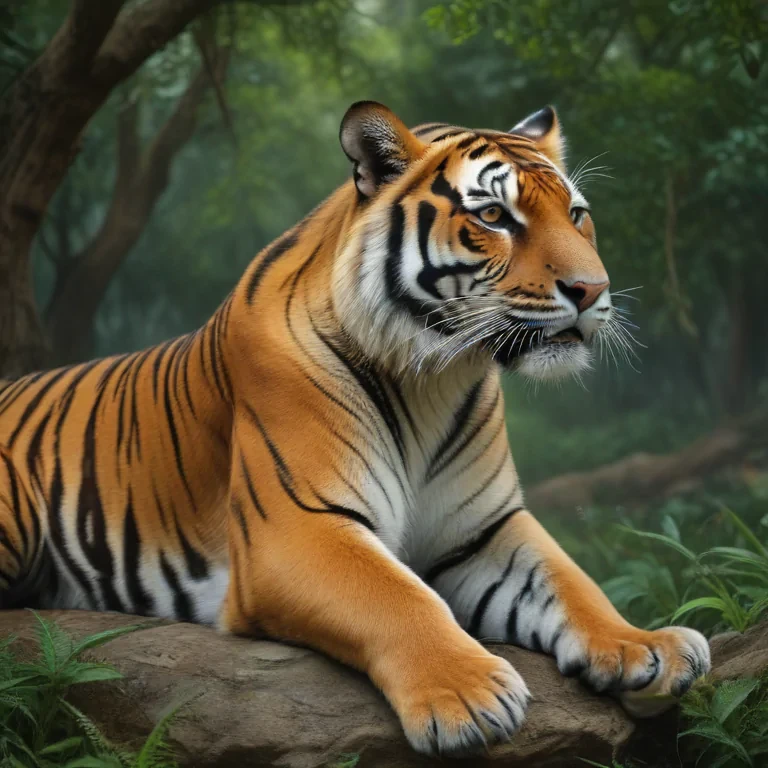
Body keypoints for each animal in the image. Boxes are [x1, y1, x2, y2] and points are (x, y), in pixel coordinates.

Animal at [0, 101, 710, 756]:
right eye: (492, 217)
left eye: (577, 213)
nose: (593, 290)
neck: (434, 375)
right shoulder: (299, 528)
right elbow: (399, 598)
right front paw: (467, 697)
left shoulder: (482, 529)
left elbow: (571, 581)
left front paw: (646, 647)